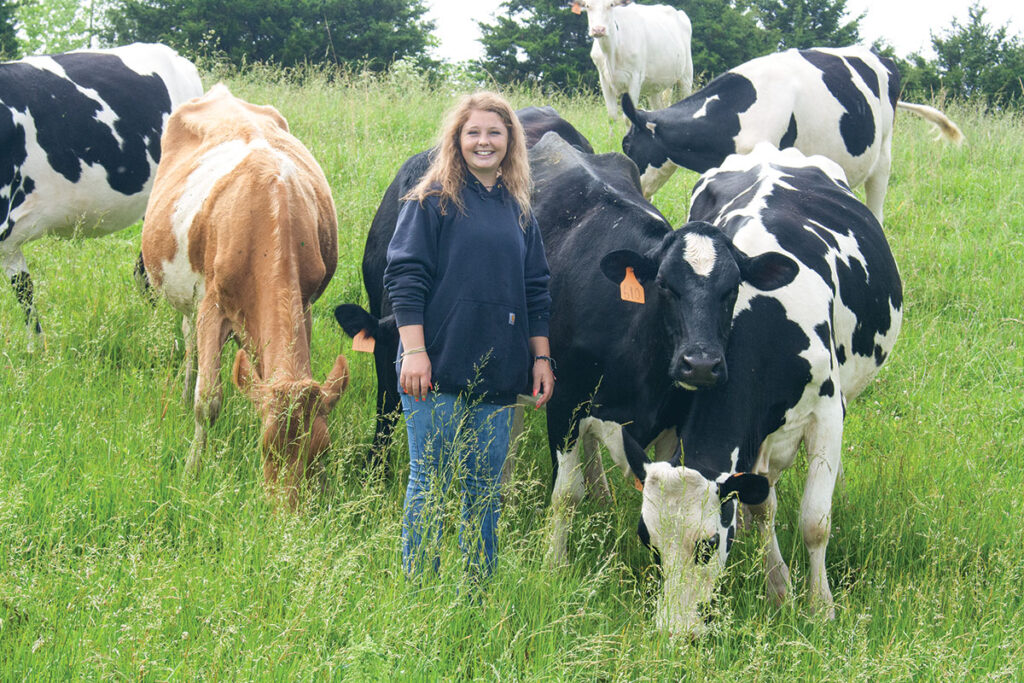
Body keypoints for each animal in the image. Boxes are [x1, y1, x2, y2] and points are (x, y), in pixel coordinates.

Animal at [140, 83, 350, 507]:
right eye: (265, 448)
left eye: (321, 450)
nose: (289, 514)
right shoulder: (211, 305)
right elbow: (209, 400)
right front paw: (192, 469)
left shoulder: (305, 305)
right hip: (188, 295)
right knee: (190, 342)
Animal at [606, 141, 905, 638]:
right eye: (649, 541)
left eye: (707, 545)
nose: (674, 632)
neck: (765, 327)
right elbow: (763, 502)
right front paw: (778, 588)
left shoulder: (826, 410)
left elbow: (815, 520)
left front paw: (820, 607)